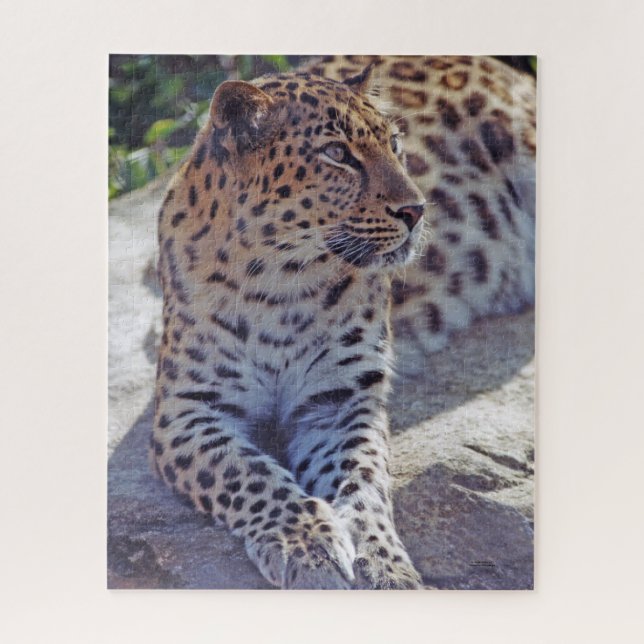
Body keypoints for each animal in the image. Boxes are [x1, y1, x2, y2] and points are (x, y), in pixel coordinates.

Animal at [151, 55, 536, 590]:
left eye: (394, 144)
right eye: (337, 154)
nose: (416, 210)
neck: (279, 285)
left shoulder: (341, 399)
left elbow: (363, 483)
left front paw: (385, 564)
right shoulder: (188, 411)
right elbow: (249, 476)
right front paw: (306, 545)